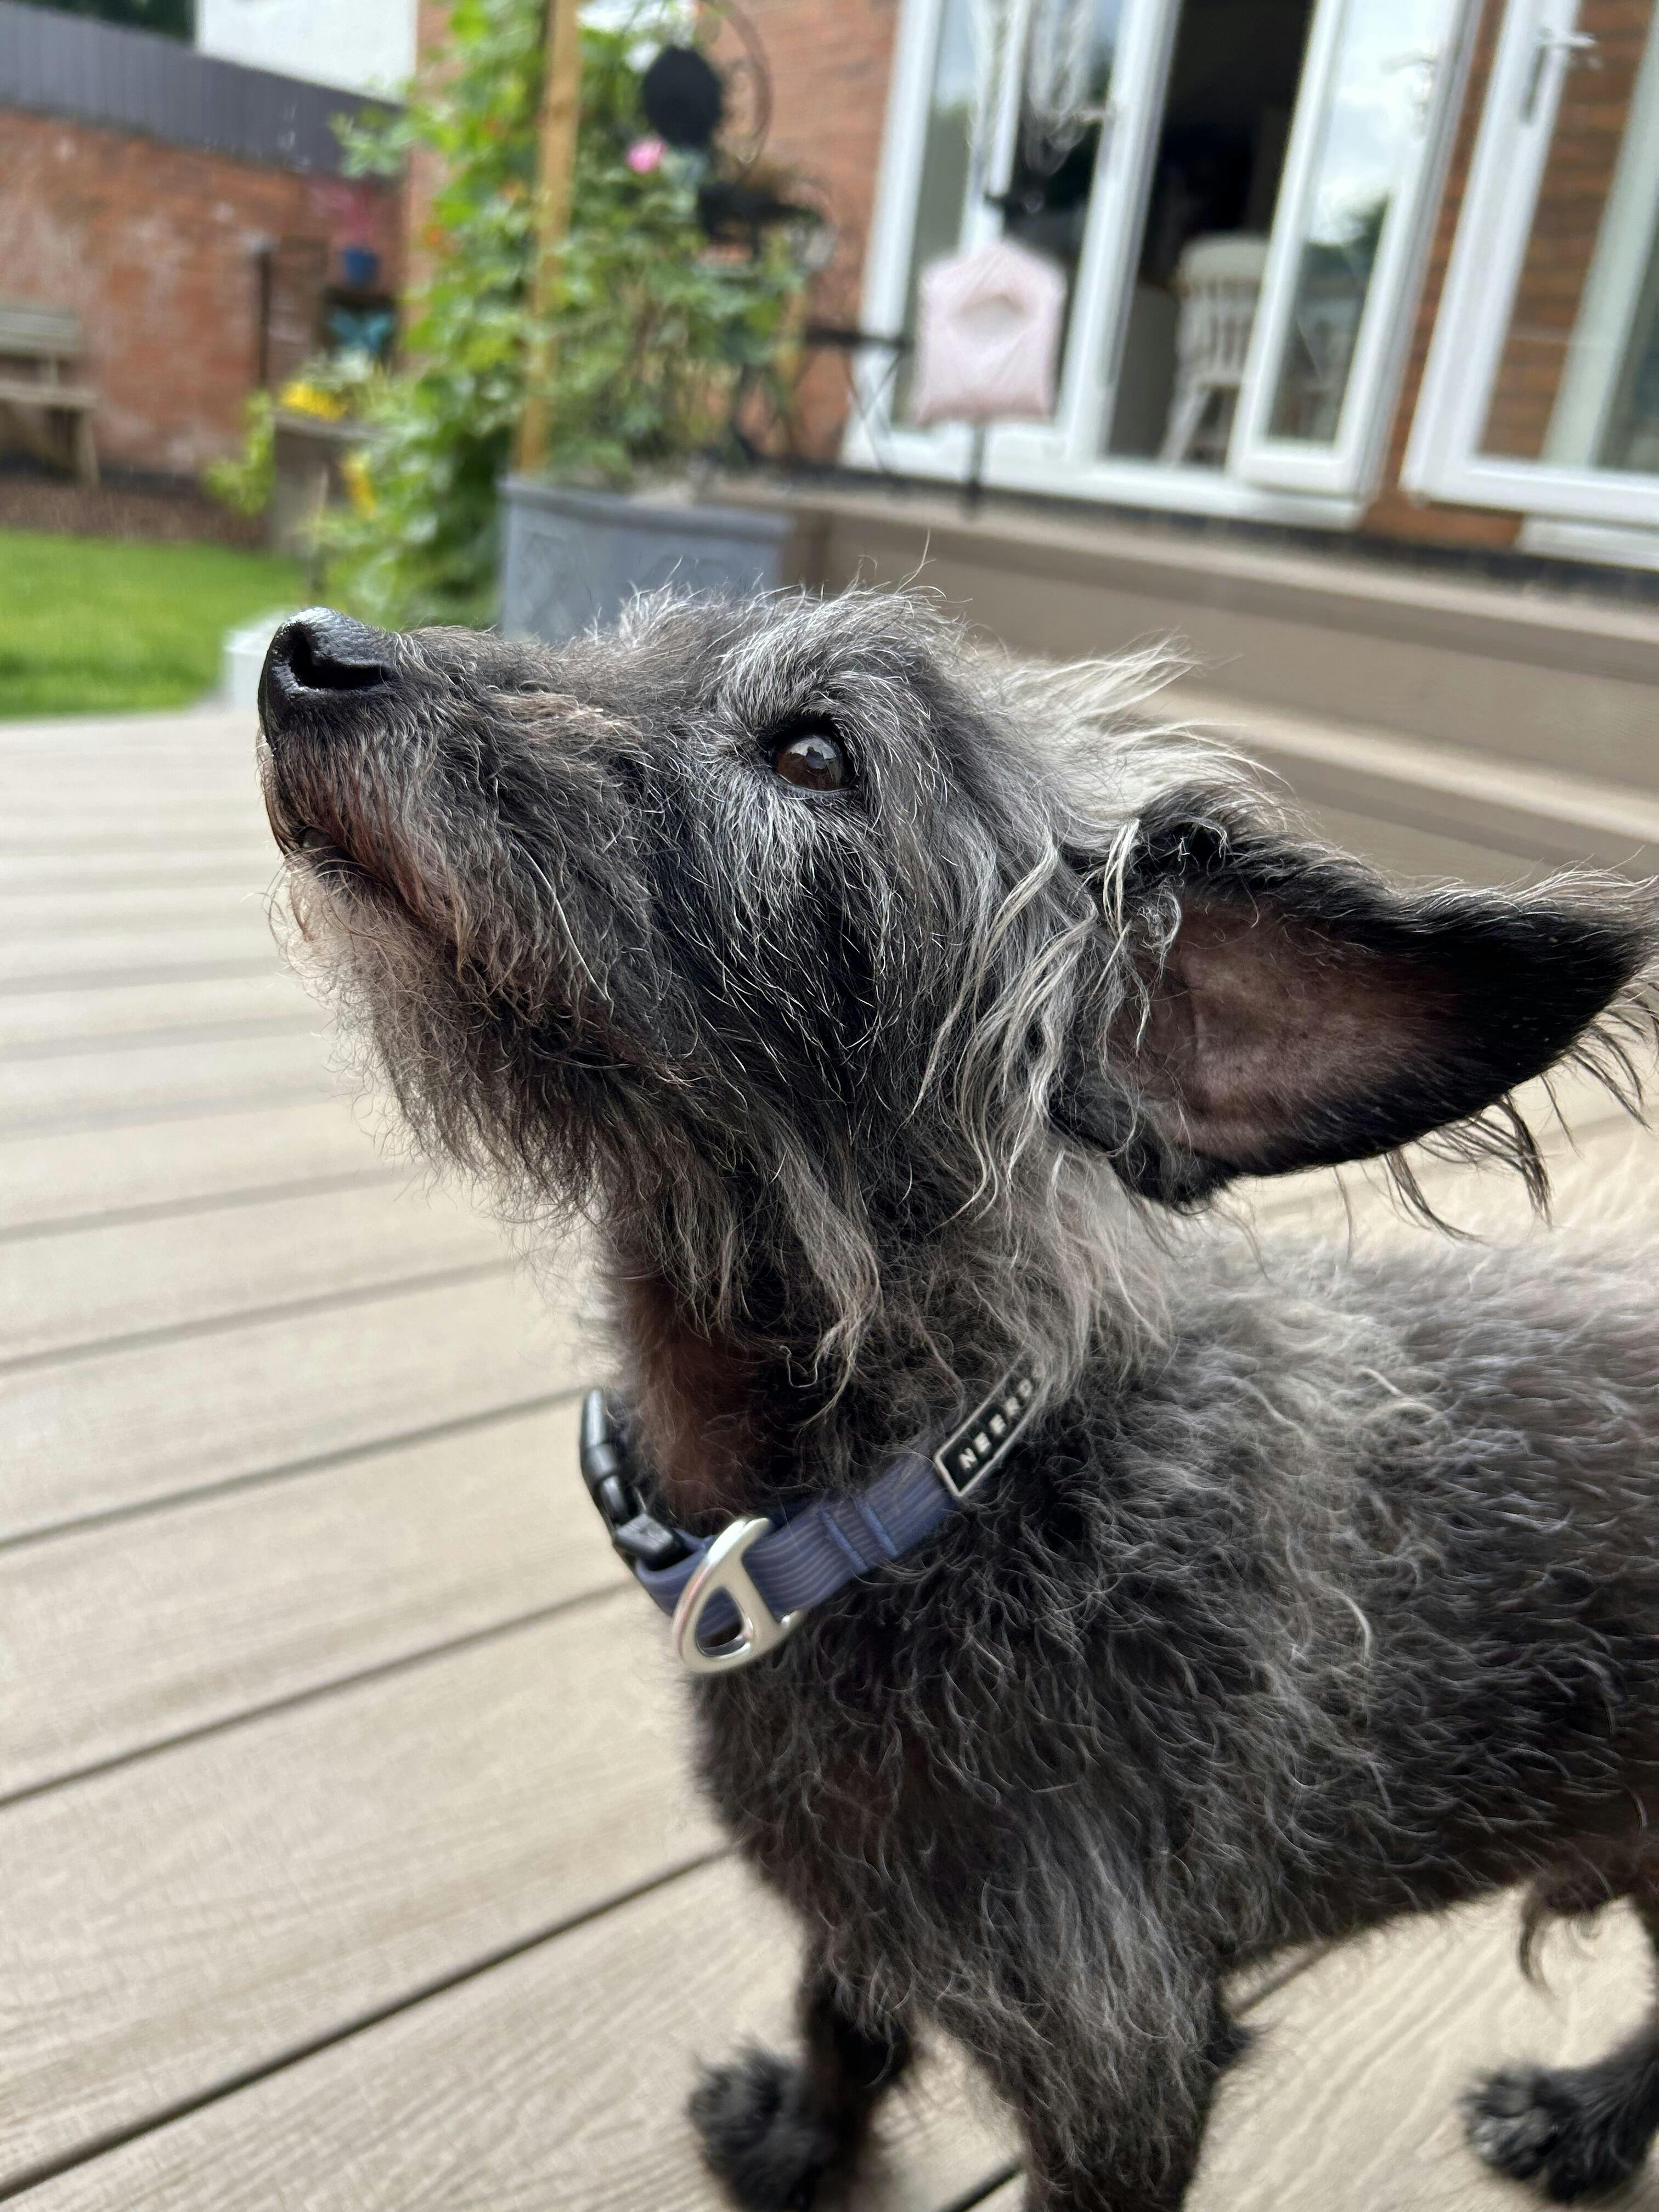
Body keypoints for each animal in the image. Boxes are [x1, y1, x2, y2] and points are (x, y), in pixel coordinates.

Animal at [259, 590, 1659, 2212]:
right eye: (631, 638)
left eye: (814, 755)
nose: (309, 650)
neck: (928, 1499)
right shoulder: (857, 1915)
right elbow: (841, 2013)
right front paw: (805, 2140)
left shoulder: (1122, 2068)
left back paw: (1591, 2118)